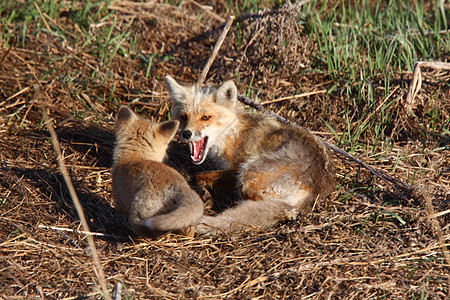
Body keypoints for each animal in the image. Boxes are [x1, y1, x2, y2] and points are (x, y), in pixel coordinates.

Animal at [165, 75, 334, 234]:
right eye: (184, 117)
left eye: (205, 117)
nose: (186, 133)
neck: (233, 134)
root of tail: (314, 189)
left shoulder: (235, 169)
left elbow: (199, 175)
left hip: (247, 176)